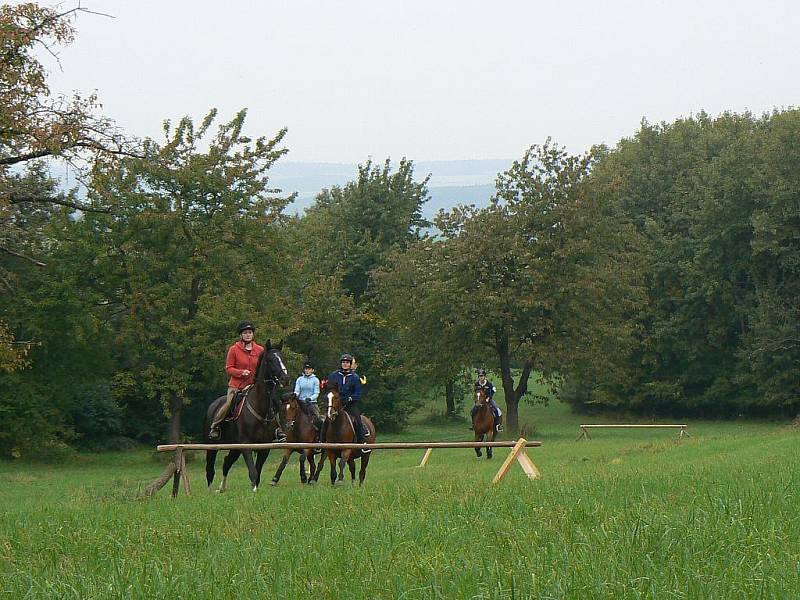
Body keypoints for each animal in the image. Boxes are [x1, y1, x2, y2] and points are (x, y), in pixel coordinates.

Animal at [203, 340, 290, 490]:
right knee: (210, 469)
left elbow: (258, 472)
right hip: (212, 446)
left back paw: (222, 488)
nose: (285, 378)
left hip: (235, 447)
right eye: (270, 360)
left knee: (226, 463)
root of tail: (213, 405)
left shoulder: (264, 447)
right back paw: (210, 490)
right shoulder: (246, 444)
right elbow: (253, 472)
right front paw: (253, 490)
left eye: (282, 358)